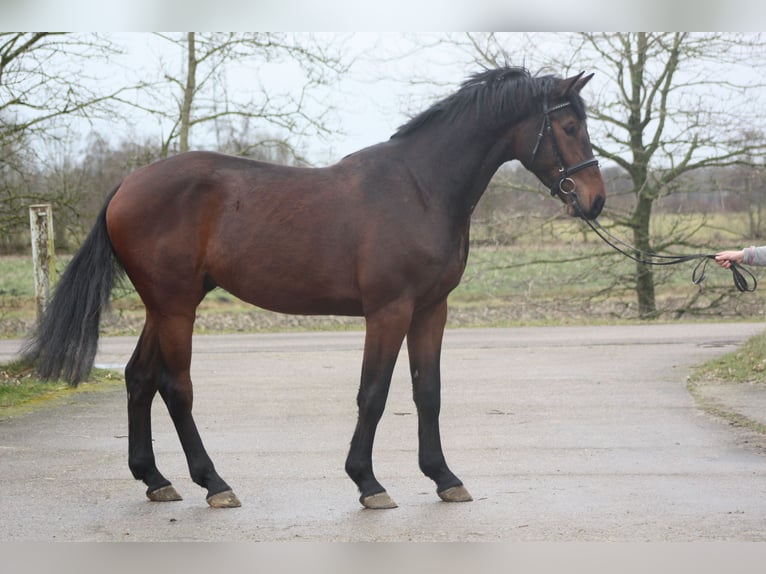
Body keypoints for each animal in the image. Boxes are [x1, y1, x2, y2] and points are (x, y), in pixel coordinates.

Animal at [23, 66, 605, 509]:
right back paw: (214, 483)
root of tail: (127, 184)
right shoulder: (389, 311)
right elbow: (374, 393)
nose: (595, 199)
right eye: (569, 124)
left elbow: (428, 392)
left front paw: (444, 477)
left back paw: (156, 479)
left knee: (139, 378)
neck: (420, 188)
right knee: (175, 386)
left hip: (164, 305)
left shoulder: (430, 310)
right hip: (175, 307)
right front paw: (368, 483)